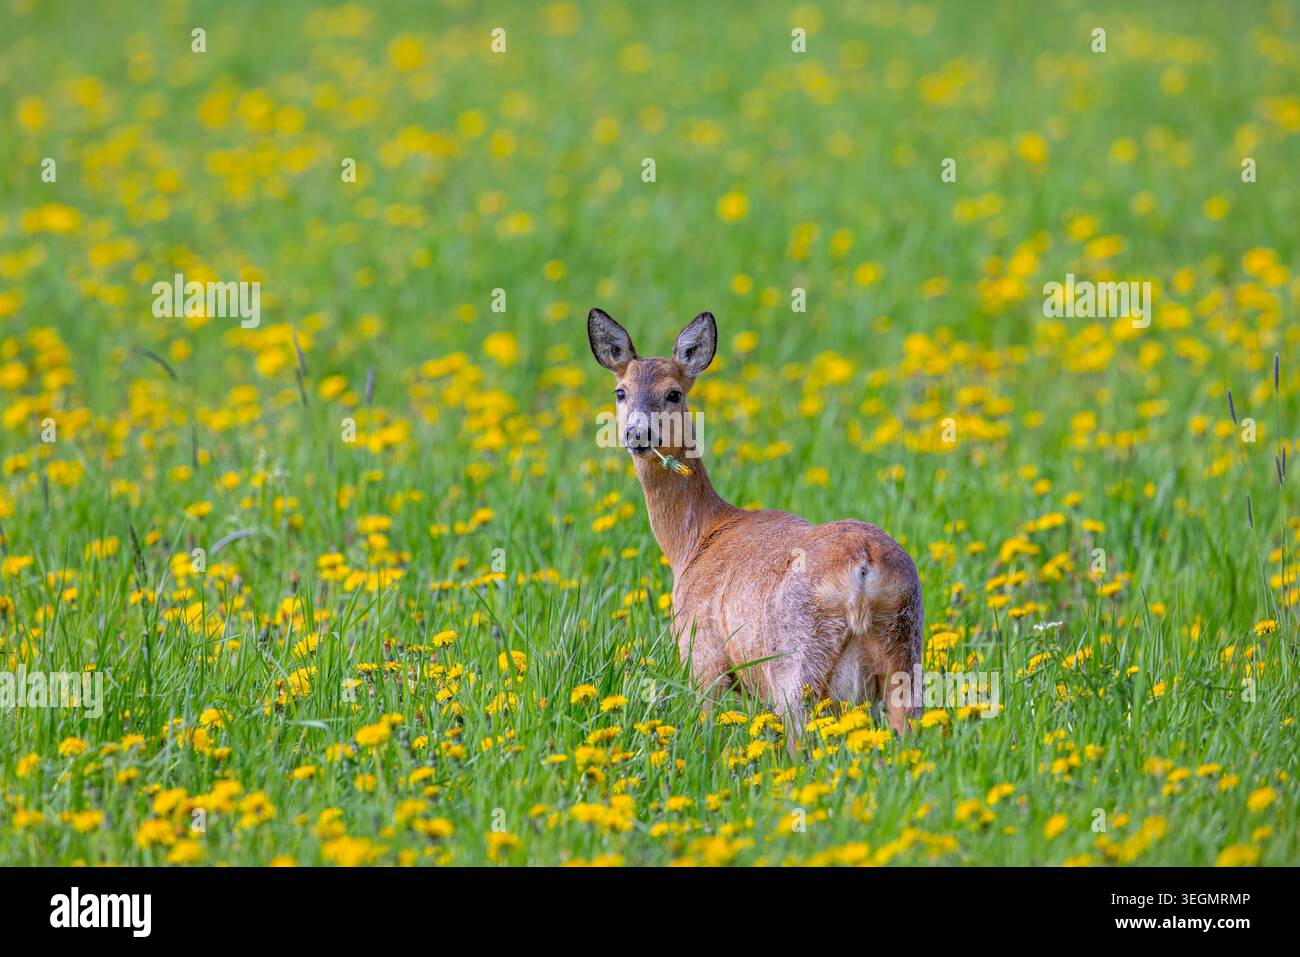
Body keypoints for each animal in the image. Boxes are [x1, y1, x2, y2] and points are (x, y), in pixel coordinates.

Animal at [588, 308, 925, 754]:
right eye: (620, 392)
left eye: (674, 393)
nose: (638, 433)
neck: (695, 540)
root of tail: (863, 569)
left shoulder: (703, 653)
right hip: (906, 650)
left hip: (795, 666)